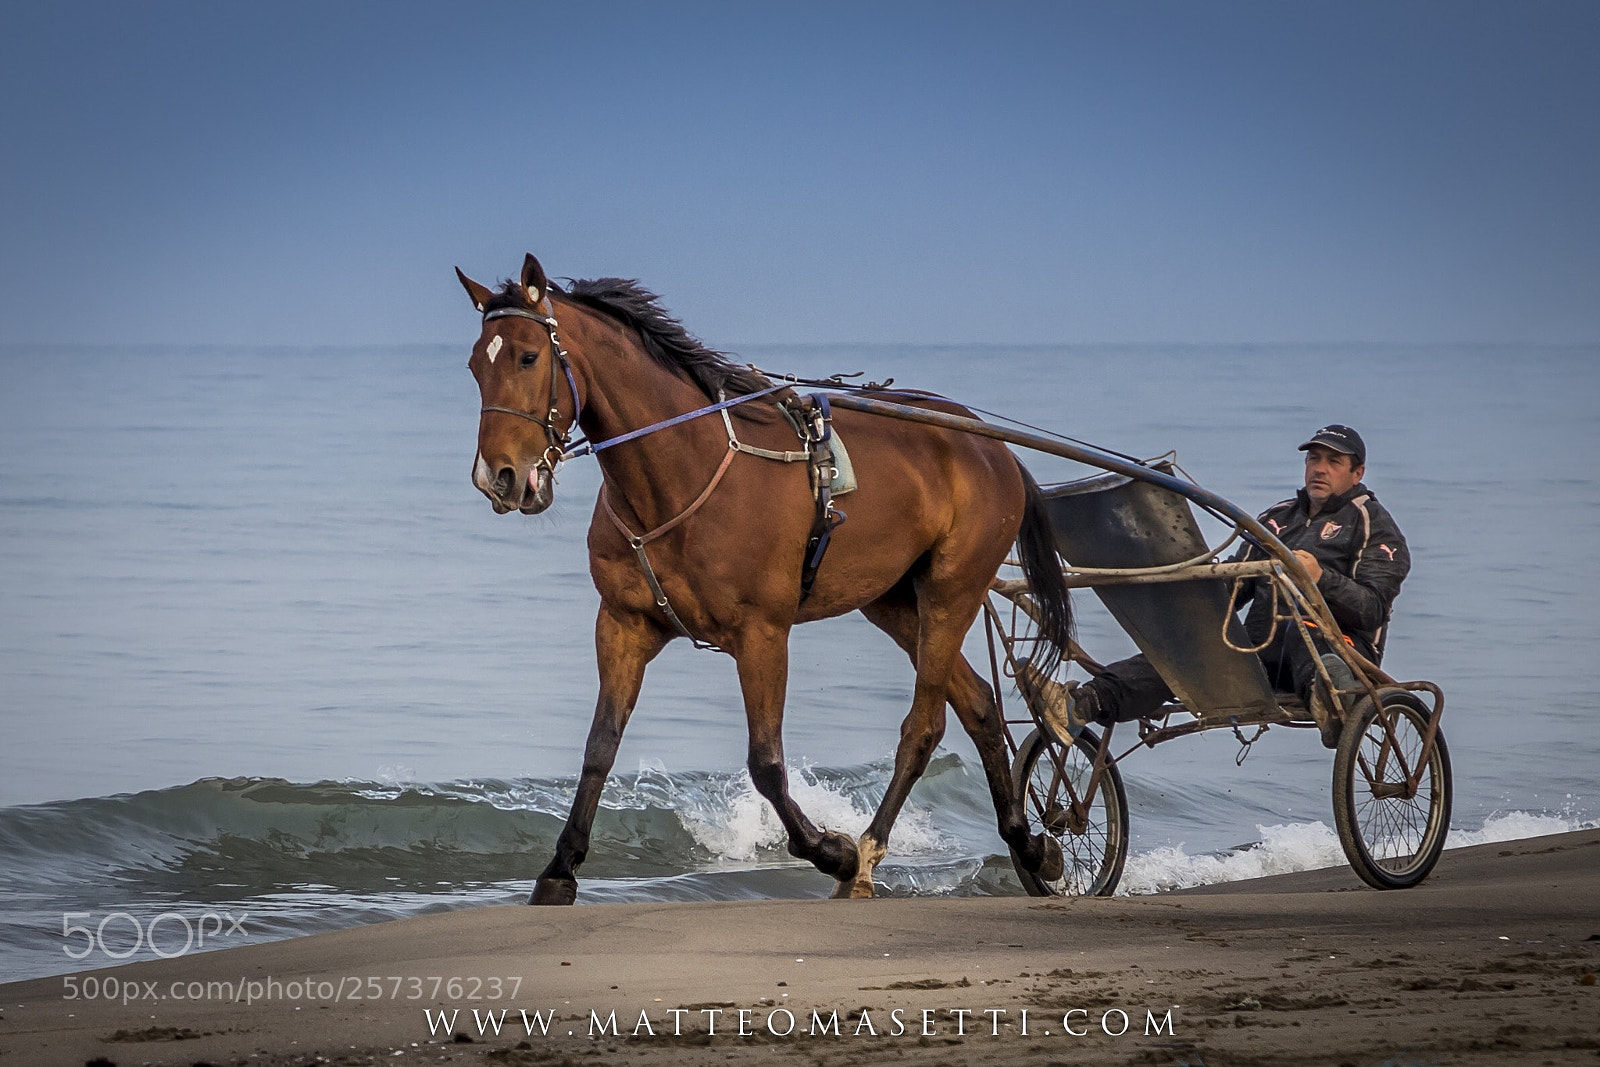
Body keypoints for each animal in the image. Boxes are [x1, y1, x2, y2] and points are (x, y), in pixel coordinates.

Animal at [458, 253, 1074, 902]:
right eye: (476, 365)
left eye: (529, 357)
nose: (497, 477)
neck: (683, 468)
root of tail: (991, 447)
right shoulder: (623, 624)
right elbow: (600, 747)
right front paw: (560, 869)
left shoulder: (762, 635)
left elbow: (766, 764)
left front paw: (833, 851)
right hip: (894, 601)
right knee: (979, 705)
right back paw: (1027, 845)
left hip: (952, 590)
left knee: (924, 726)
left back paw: (867, 856)